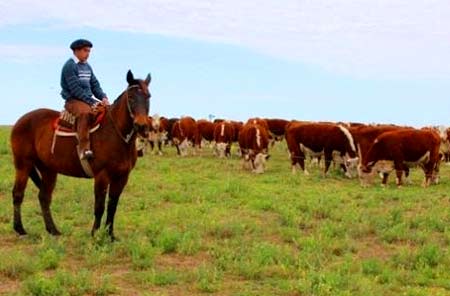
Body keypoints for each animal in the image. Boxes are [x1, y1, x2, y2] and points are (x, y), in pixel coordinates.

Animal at [10, 71, 151, 240]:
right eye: (131, 97)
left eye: (148, 96)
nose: (141, 126)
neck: (116, 134)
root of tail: (20, 121)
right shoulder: (102, 175)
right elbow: (99, 206)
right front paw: (95, 234)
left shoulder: (122, 177)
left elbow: (112, 206)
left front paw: (110, 235)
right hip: (23, 165)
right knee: (18, 194)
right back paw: (20, 229)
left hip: (48, 170)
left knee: (44, 197)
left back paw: (53, 230)